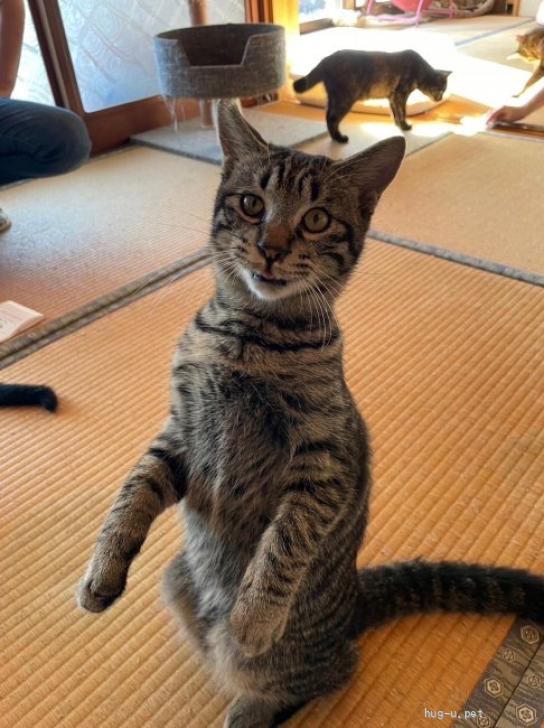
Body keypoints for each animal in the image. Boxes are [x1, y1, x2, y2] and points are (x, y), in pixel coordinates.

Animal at [77, 101, 544, 728]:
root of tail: (356, 604)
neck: (248, 338)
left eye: (317, 219)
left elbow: (285, 543)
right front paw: (102, 571)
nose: (272, 245)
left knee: (322, 674)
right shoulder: (179, 432)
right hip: (176, 579)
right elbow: (131, 492)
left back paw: (249, 704)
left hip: (290, 658)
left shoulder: (324, 457)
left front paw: (254, 616)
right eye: (252, 203)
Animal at [293, 49, 451, 142]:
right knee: (332, 119)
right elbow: (402, 112)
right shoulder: (400, 95)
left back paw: (335, 138)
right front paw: (405, 126)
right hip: (344, 99)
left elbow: (395, 112)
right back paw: (340, 139)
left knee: (327, 116)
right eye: (441, 89)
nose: (440, 98)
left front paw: (398, 125)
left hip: (334, 98)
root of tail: (326, 59)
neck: (420, 71)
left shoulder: (392, 97)